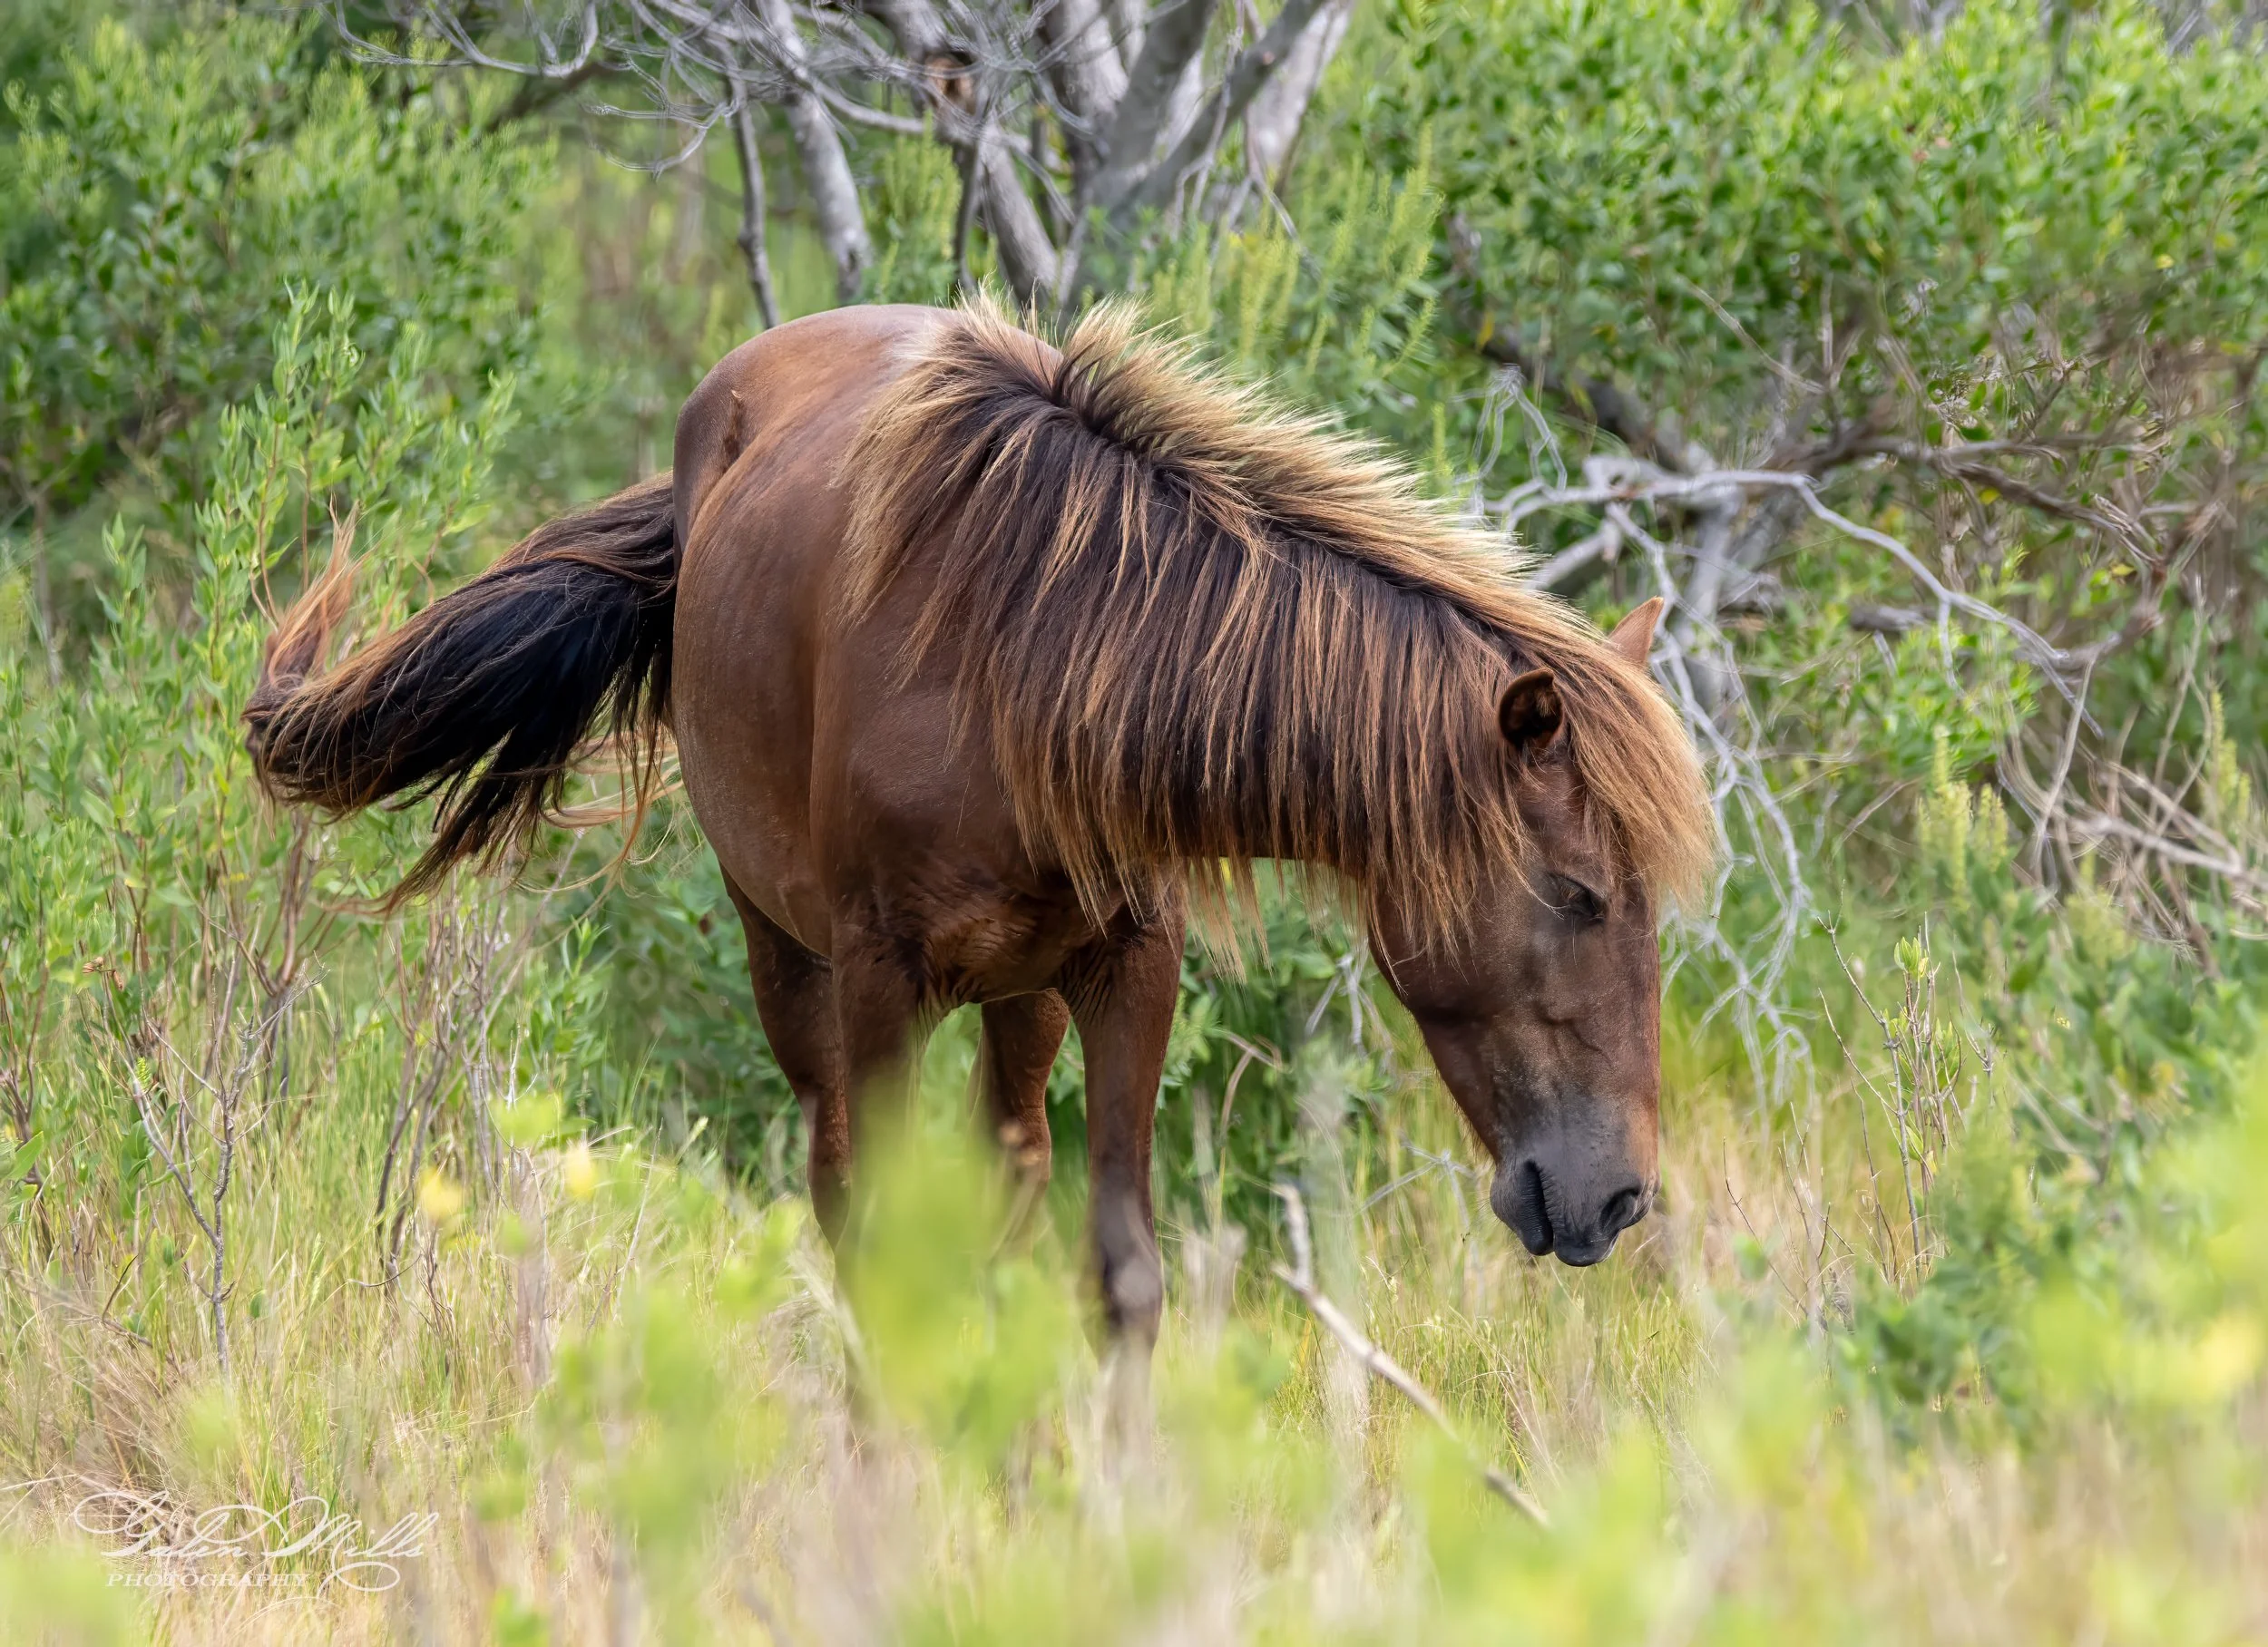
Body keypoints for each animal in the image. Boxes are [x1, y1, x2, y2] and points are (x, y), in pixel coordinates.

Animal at [244, 300, 1712, 1346]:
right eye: (1579, 895)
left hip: (1024, 999)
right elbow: (891, 1252)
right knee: (842, 1194)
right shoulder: (883, 983)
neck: (1038, 666)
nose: (1619, 1197)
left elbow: (1119, 1272)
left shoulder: (1129, 972)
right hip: (794, 965)